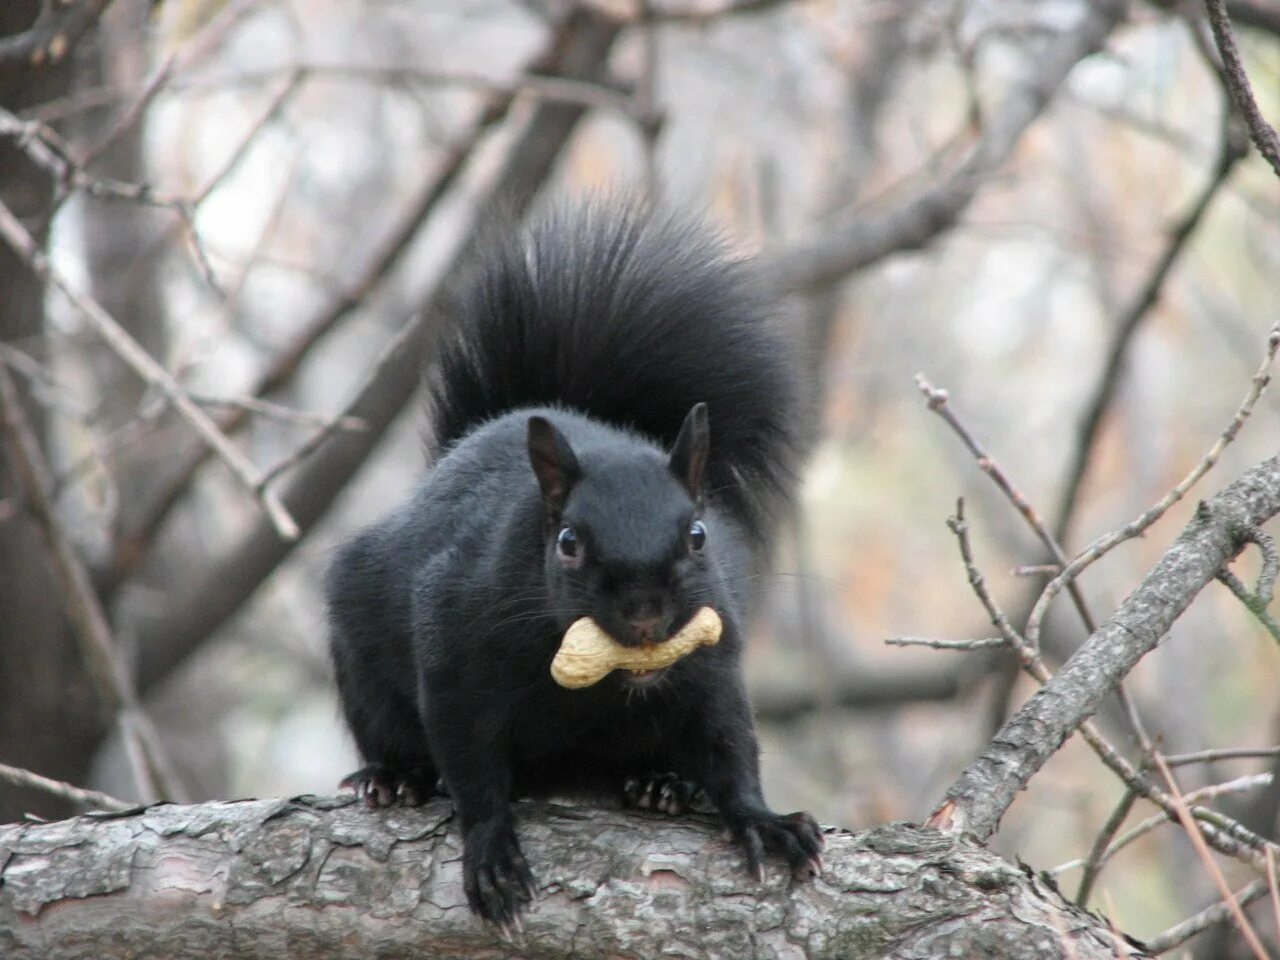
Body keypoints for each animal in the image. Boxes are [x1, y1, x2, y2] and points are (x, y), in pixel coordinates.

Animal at [325, 199, 824, 926]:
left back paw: (661, 784)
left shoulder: (714, 660)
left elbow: (730, 743)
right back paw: (393, 778)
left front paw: (764, 821)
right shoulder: (453, 644)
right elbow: (471, 763)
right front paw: (492, 852)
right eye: (567, 542)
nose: (645, 614)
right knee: (390, 729)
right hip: (360, 647)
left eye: (699, 535)